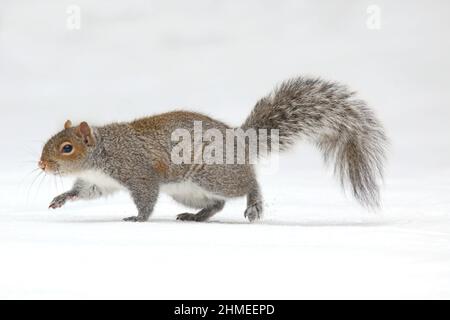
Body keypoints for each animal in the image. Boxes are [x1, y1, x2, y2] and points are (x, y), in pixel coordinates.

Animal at [38, 77, 386, 222]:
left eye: (67, 147)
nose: (42, 165)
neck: (102, 154)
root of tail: (239, 141)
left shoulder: (137, 172)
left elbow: (146, 198)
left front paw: (138, 218)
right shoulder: (98, 182)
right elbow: (85, 192)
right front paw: (61, 198)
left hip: (214, 176)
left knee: (248, 183)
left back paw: (254, 204)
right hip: (189, 191)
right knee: (216, 204)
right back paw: (196, 217)